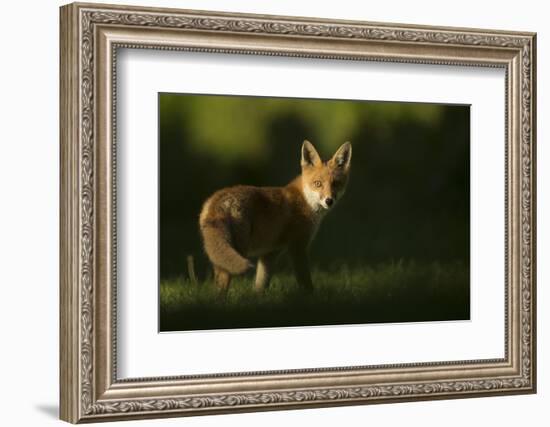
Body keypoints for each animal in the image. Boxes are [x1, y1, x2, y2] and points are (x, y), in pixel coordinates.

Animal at [199, 140, 354, 294]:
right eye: (318, 184)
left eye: (336, 184)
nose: (329, 201)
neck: (305, 200)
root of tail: (216, 201)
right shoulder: (297, 247)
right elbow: (305, 281)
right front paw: (310, 296)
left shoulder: (270, 253)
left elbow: (261, 283)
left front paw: (258, 296)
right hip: (238, 248)